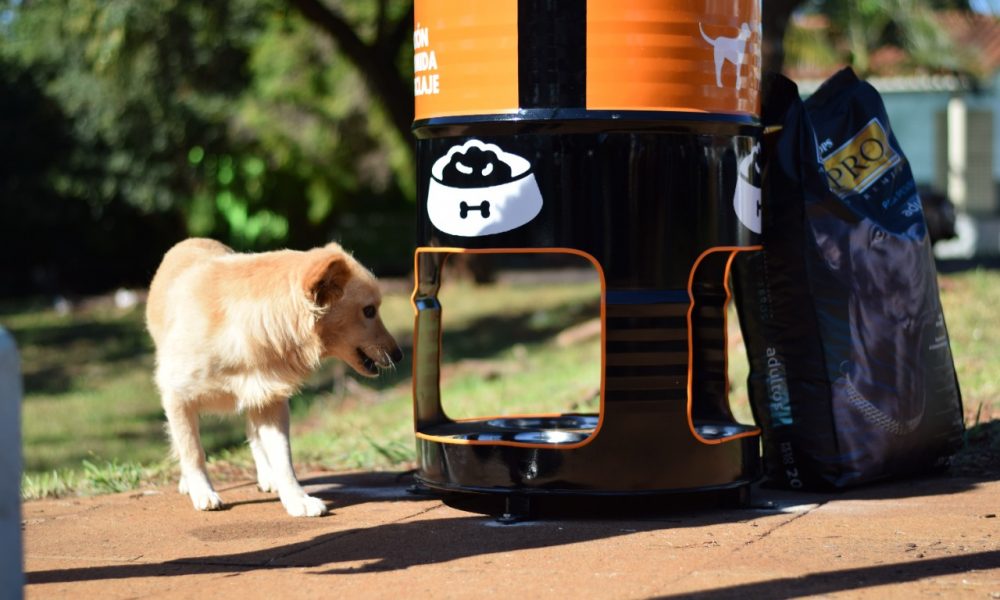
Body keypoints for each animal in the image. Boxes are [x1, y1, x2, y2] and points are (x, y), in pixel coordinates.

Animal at [146, 238, 402, 516]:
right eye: (369, 311)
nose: (398, 355)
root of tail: (192, 240)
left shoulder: (271, 401)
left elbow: (283, 457)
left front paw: (296, 499)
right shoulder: (177, 397)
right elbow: (193, 450)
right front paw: (202, 490)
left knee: (254, 436)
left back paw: (268, 477)